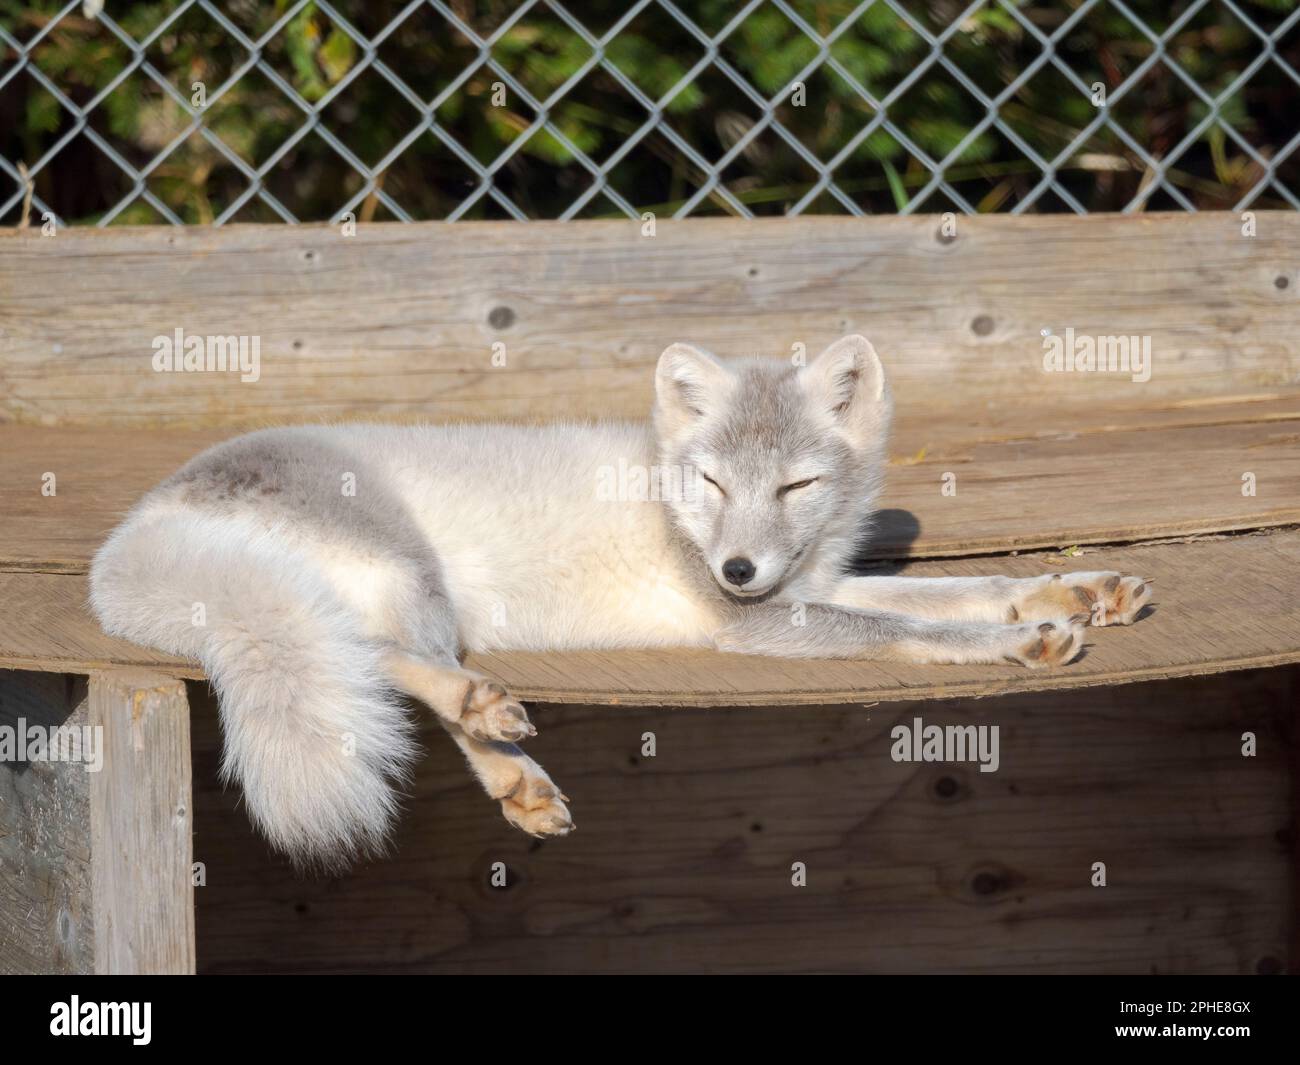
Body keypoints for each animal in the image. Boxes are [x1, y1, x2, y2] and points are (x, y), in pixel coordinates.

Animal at [89, 338, 1149, 868]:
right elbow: (912, 628)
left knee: (376, 659)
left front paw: (1073, 587)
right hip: (408, 577)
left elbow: (958, 588)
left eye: (796, 487)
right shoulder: (760, 625)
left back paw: (515, 776)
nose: (735, 570)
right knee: (380, 659)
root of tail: (132, 532)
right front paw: (1021, 644)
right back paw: (486, 716)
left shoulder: (806, 587)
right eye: (714, 483)